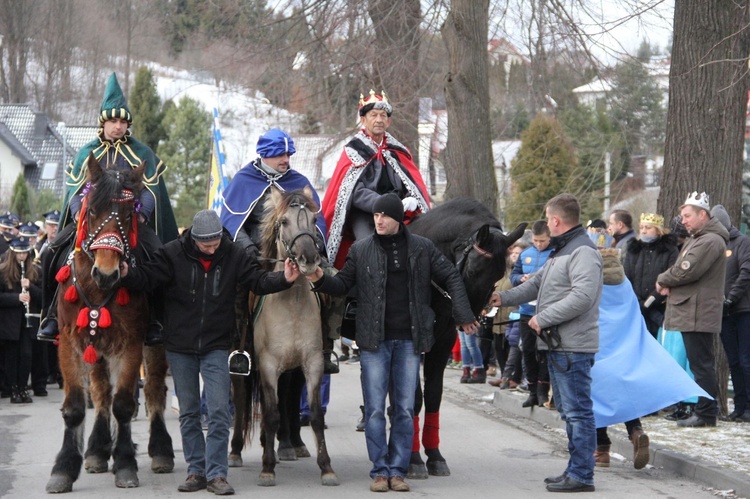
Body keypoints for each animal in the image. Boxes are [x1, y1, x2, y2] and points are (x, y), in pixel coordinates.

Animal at [46, 155, 175, 492]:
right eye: (91, 210)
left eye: (130, 214)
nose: (107, 272)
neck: (97, 288)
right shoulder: (70, 343)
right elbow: (77, 406)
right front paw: (64, 468)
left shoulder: (130, 343)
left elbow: (125, 404)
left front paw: (126, 465)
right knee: (102, 392)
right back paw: (97, 450)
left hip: (152, 346)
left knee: (153, 388)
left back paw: (160, 450)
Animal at [253, 188, 338, 488]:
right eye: (284, 221)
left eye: (314, 220)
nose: (308, 259)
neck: (292, 305)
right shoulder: (267, 366)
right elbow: (271, 413)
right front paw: (266, 469)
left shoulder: (312, 363)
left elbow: (314, 414)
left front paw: (326, 468)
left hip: (293, 371)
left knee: (289, 400)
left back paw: (293, 445)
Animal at [406, 197, 528, 478]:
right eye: (472, 270)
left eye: (498, 278)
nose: (472, 321)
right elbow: (414, 399)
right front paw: (414, 459)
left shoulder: (441, 345)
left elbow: (433, 396)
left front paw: (434, 456)